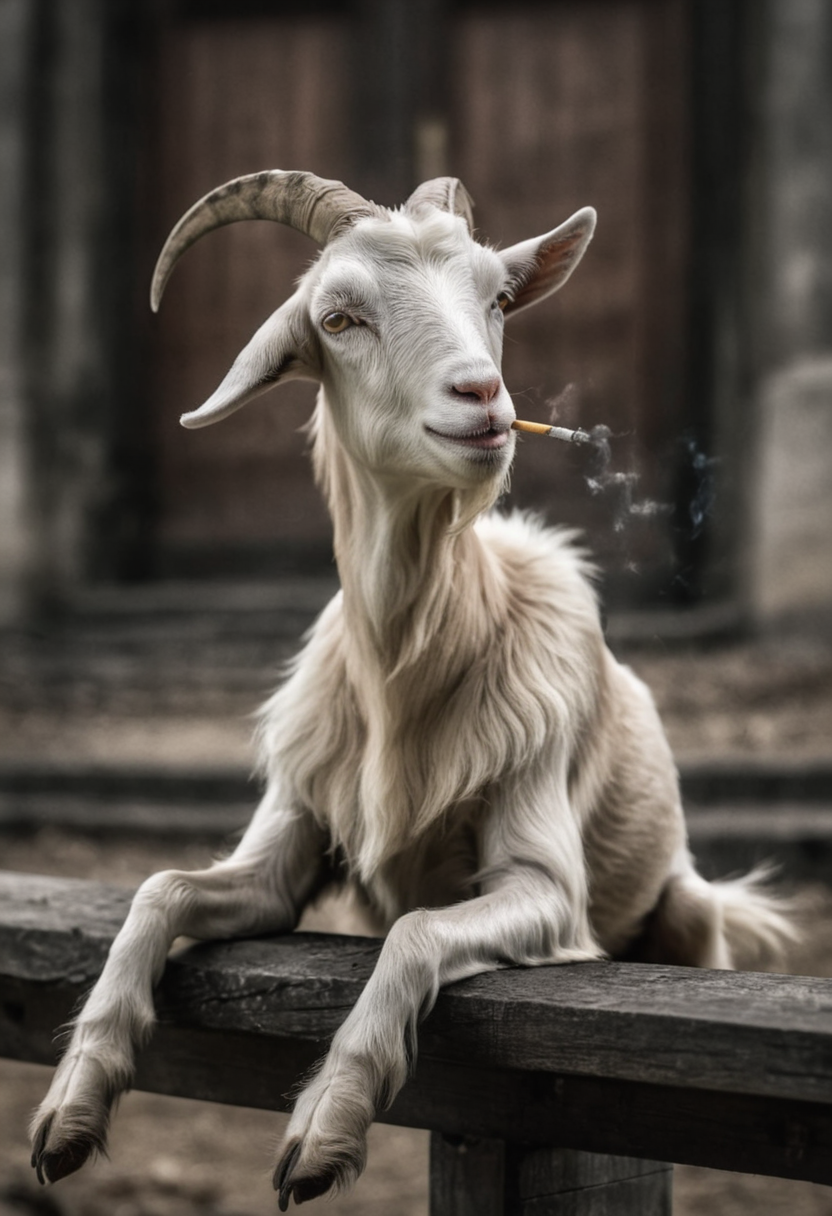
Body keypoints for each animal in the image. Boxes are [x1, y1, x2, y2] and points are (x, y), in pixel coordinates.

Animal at [30, 171, 795, 1208]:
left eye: (499, 298)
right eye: (339, 317)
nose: (482, 394)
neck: (404, 676)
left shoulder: (546, 886)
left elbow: (418, 931)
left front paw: (323, 1131)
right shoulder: (285, 842)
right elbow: (158, 889)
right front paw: (70, 1111)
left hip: (686, 913)